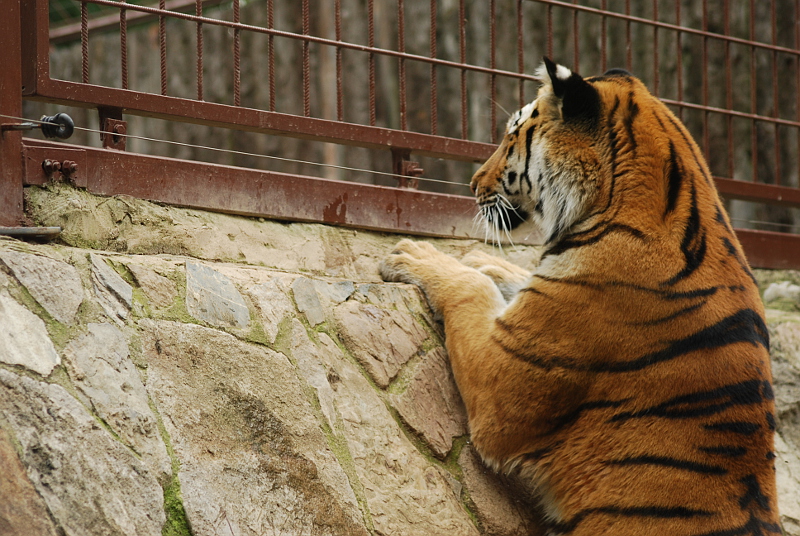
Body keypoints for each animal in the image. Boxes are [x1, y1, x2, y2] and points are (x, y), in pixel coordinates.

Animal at [380, 58, 780, 535]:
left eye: (511, 136)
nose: (472, 184)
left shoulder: (501, 387)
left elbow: (471, 290)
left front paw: (414, 254)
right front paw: (485, 262)